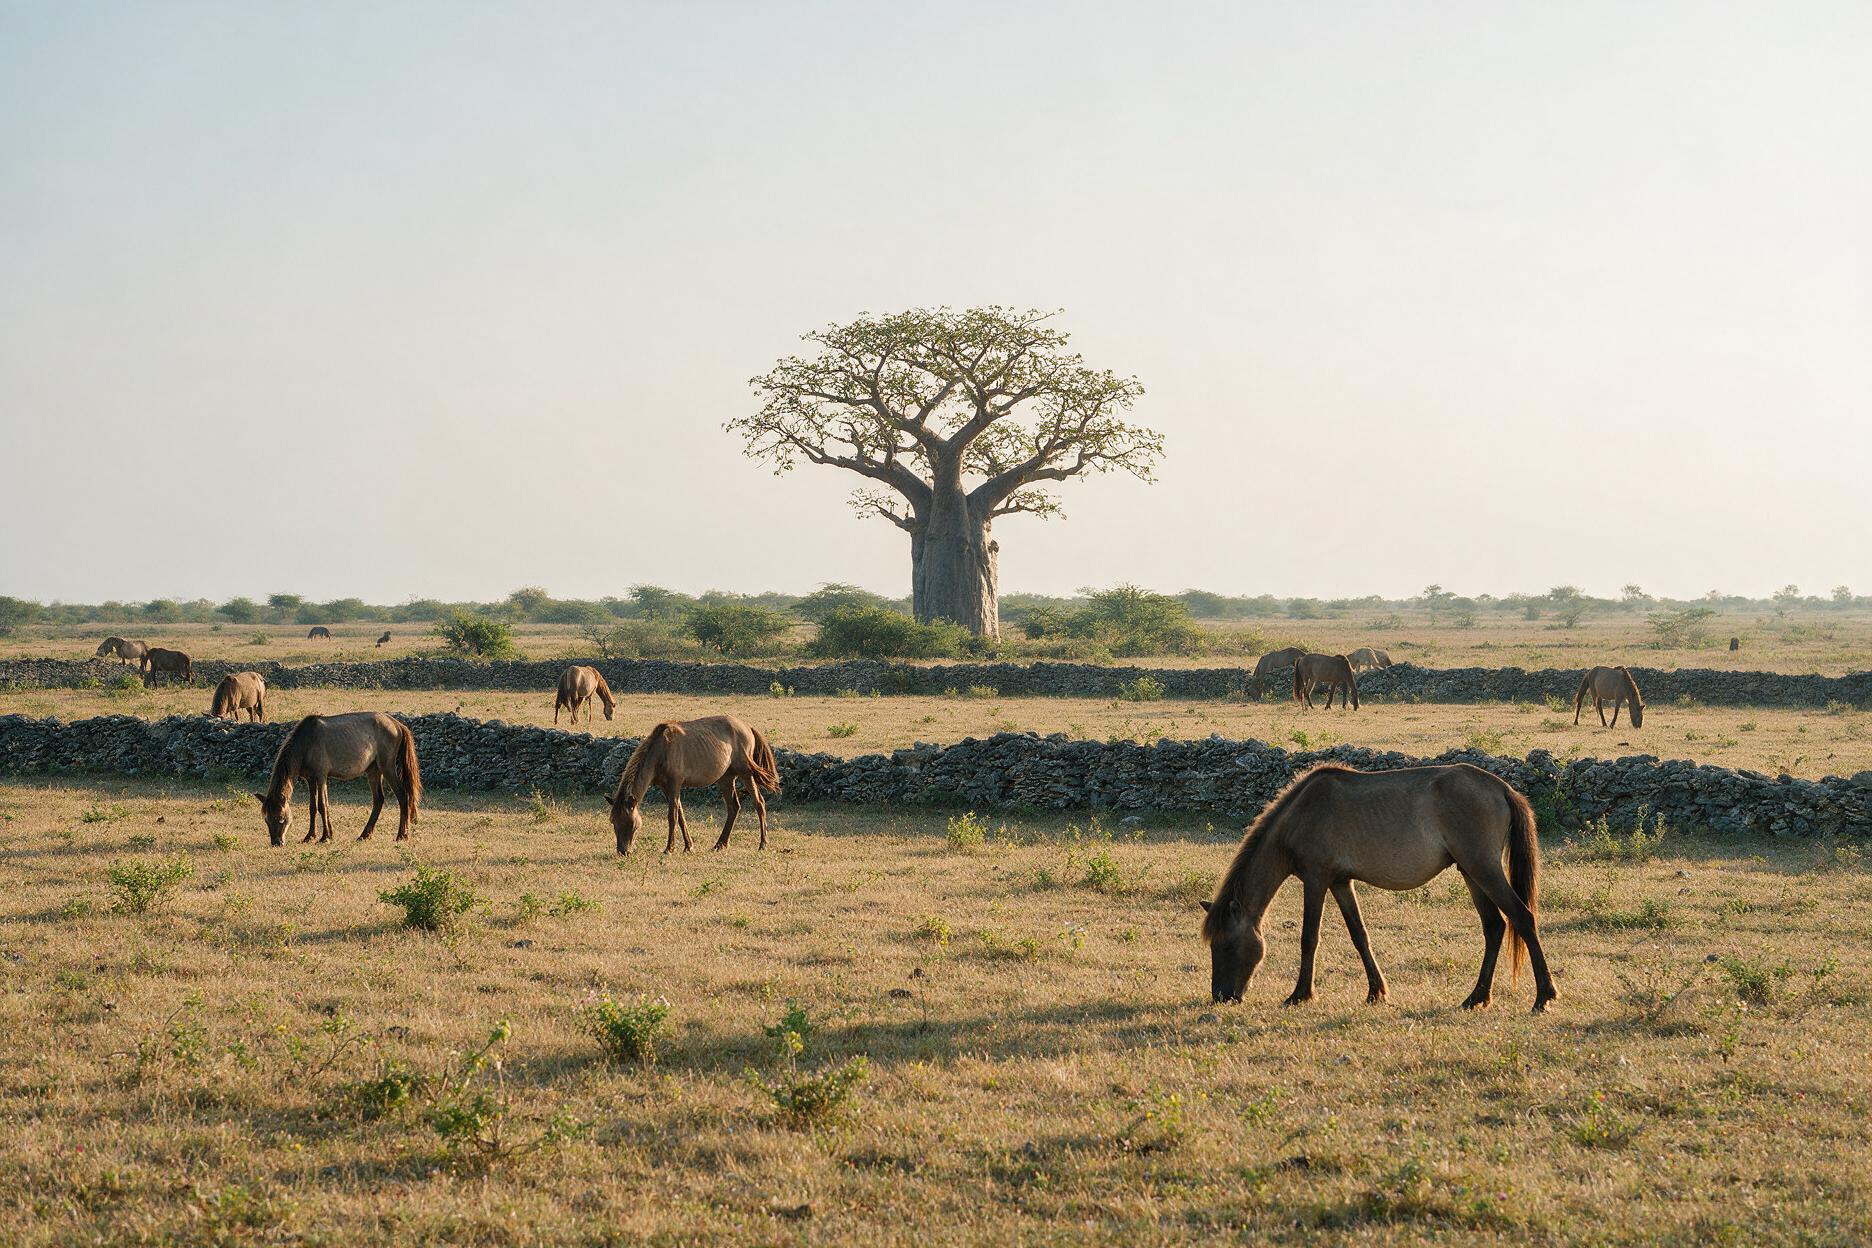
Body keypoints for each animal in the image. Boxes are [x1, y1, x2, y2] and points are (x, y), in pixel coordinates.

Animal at [254, 712, 421, 846]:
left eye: (282, 818)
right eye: (266, 819)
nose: (277, 842)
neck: (306, 742)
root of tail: (398, 725)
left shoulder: (321, 776)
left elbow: (322, 805)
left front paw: (325, 837)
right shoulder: (311, 779)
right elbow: (313, 807)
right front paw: (310, 836)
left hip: (387, 768)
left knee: (402, 796)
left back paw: (402, 835)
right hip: (373, 771)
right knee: (379, 800)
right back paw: (364, 835)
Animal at [610, 715, 780, 854]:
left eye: (631, 824)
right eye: (613, 822)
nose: (623, 851)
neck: (662, 750)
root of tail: (747, 727)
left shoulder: (674, 785)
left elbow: (672, 816)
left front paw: (669, 848)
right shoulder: (666, 788)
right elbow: (681, 816)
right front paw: (688, 846)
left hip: (746, 774)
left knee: (759, 803)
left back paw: (763, 844)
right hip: (726, 778)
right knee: (733, 807)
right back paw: (720, 844)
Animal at [1201, 763, 1556, 1013]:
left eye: (1226, 945)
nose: (1222, 996)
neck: (1301, 814)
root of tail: (1503, 788)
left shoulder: (1316, 880)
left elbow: (1309, 938)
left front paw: (1300, 994)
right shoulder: (1341, 882)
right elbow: (1359, 936)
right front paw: (1376, 992)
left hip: (1484, 868)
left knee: (1522, 918)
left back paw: (1543, 997)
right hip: (1471, 871)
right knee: (1494, 926)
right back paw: (1476, 997)